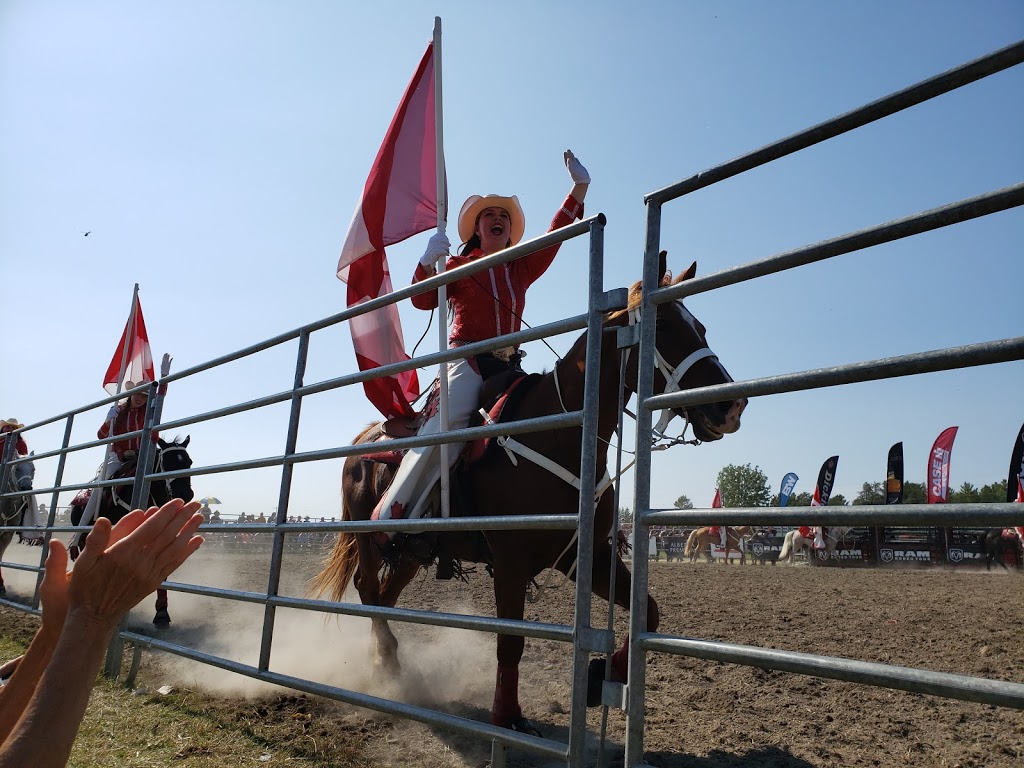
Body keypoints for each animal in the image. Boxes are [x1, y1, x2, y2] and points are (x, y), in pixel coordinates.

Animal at [307, 250, 749, 733]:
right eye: (664, 326)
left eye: (700, 327)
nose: (731, 405)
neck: (559, 433)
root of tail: (365, 438)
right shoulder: (510, 563)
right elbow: (511, 643)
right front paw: (507, 716)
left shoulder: (585, 556)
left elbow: (648, 611)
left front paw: (603, 674)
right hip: (369, 537)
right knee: (368, 588)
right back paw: (387, 662)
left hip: (411, 554)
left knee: (386, 598)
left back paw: (390, 665)